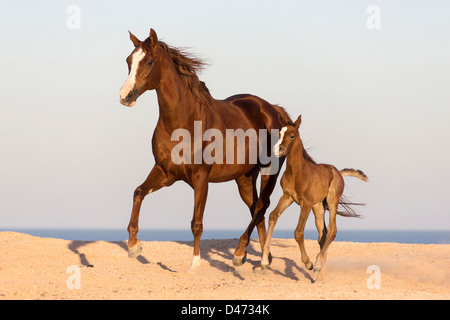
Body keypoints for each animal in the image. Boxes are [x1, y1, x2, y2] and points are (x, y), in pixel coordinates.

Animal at [260, 115, 366, 282]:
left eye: (292, 135)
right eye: (279, 134)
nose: (278, 150)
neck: (297, 172)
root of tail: (338, 172)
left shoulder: (306, 203)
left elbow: (298, 232)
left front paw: (308, 263)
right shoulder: (288, 197)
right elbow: (273, 216)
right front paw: (264, 262)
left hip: (332, 202)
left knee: (332, 230)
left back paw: (316, 265)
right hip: (319, 208)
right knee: (323, 236)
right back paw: (319, 277)